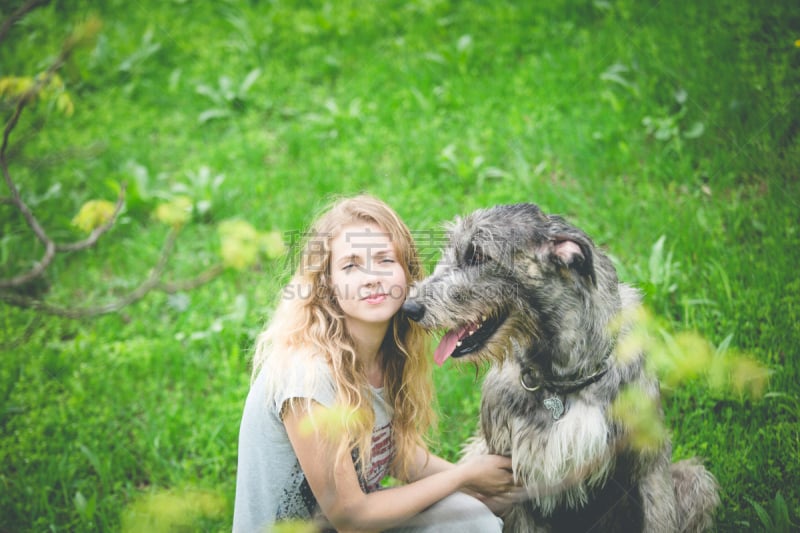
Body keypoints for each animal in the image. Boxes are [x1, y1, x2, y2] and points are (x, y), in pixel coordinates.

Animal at [404, 202, 720, 528]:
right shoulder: (509, 474)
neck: (565, 380)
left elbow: (659, 517)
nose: (408, 308)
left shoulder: (650, 462)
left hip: (695, 482)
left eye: (478, 255)